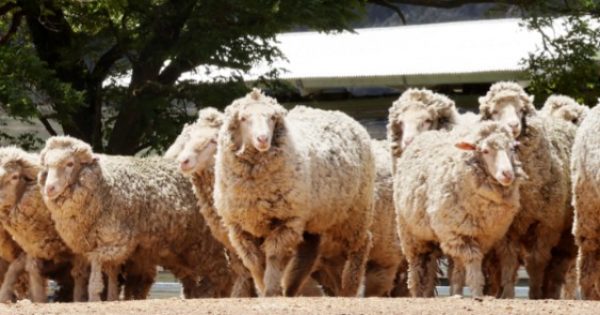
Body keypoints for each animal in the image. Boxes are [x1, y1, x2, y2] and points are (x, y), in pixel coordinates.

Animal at [38, 138, 234, 302]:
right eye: (47, 165)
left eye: (70, 163)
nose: (49, 188)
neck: (103, 184)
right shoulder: (90, 244)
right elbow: (106, 272)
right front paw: (108, 298)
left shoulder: (111, 241)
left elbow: (98, 274)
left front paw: (95, 297)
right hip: (179, 249)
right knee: (189, 277)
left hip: (205, 242)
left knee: (221, 272)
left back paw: (213, 294)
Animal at [216, 89, 376, 298]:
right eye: (243, 118)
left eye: (272, 117)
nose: (262, 139)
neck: (255, 188)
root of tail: (343, 115)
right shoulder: (239, 227)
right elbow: (254, 260)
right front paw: (263, 286)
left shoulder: (287, 220)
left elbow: (273, 255)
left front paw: (271, 289)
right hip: (316, 217)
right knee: (309, 251)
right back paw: (292, 287)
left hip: (355, 210)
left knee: (361, 244)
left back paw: (349, 287)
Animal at [394, 121, 524, 298]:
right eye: (485, 151)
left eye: (512, 149)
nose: (507, 174)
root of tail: (428, 134)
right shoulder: (458, 233)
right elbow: (472, 261)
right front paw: (477, 293)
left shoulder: (481, 236)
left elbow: (461, 268)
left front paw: (463, 291)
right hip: (411, 233)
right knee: (417, 264)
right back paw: (417, 293)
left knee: (434, 264)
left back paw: (435, 293)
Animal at [478, 81, 576, 298]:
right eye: (494, 111)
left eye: (521, 109)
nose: (513, 125)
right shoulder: (506, 227)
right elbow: (509, 259)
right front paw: (507, 293)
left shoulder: (546, 223)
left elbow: (537, 261)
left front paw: (535, 293)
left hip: (566, 232)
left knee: (558, 264)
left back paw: (550, 293)